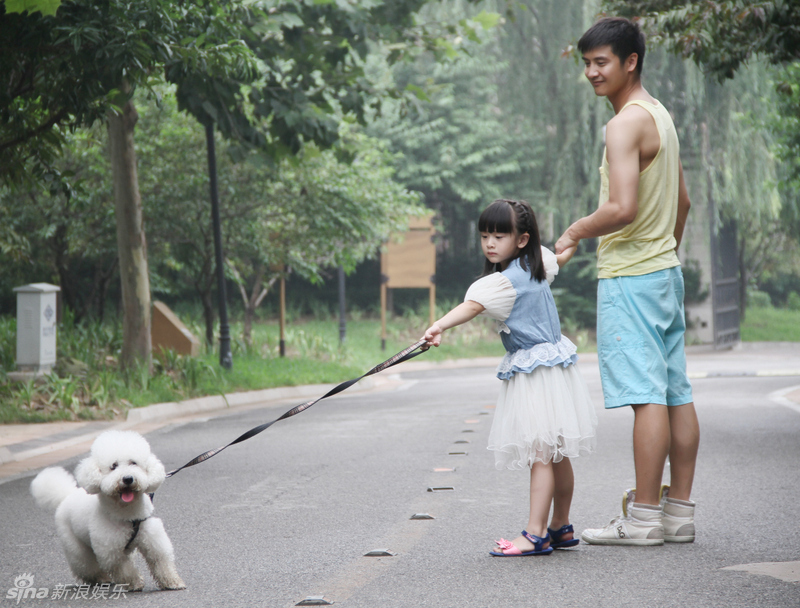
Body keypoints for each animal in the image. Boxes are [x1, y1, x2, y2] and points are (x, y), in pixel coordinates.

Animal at [30, 430, 185, 592]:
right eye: (113, 466)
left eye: (133, 463)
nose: (128, 478)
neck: (127, 514)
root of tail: (67, 495)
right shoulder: (112, 551)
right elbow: (124, 569)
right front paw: (134, 583)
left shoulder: (153, 540)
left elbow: (161, 561)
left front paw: (172, 582)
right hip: (75, 546)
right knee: (86, 565)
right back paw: (101, 578)